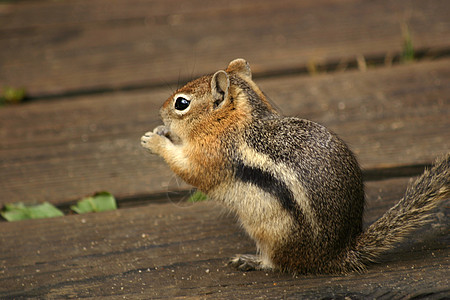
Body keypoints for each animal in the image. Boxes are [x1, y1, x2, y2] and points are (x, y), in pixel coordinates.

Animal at [142, 58, 450, 274]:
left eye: (181, 103)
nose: (160, 111)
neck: (236, 121)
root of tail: (338, 253)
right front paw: (161, 131)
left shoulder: (213, 155)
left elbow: (189, 169)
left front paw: (154, 140)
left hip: (272, 232)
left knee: (280, 263)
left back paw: (253, 260)